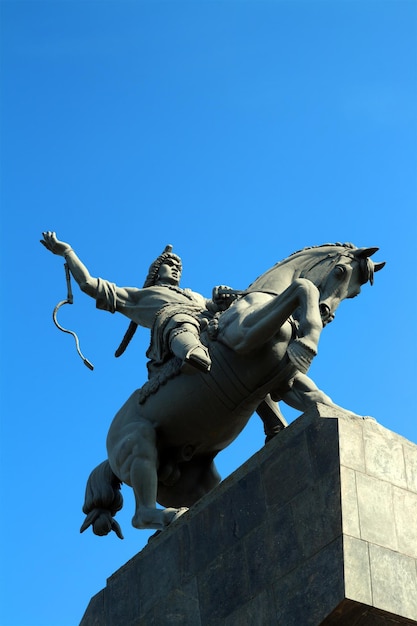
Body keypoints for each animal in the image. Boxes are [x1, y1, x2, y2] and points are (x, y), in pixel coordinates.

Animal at [45, 239, 384, 536]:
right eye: (339, 271)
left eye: (355, 290)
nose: (325, 312)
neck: (258, 297)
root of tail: (110, 452)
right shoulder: (245, 334)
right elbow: (304, 286)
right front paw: (308, 342)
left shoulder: (284, 380)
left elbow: (315, 397)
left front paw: (356, 419)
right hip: (138, 447)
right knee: (139, 514)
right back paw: (168, 517)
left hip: (195, 480)